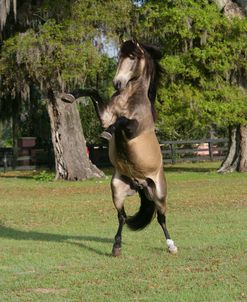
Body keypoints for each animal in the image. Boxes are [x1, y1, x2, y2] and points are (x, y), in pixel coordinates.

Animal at [64, 39, 177, 256]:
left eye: (132, 57)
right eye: (119, 57)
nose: (117, 84)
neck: (129, 99)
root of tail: (140, 185)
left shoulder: (133, 128)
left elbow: (122, 121)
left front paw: (107, 133)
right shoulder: (105, 115)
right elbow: (93, 91)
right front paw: (69, 96)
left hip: (159, 194)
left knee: (161, 218)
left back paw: (172, 246)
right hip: (117, 190)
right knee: (122, 216)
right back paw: (116, 247)